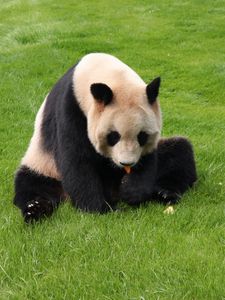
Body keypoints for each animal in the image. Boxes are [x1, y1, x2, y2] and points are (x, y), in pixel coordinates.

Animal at [13, 52, 197, 221]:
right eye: (113, 136)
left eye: (142, 136)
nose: (126, 163)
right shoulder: (70, 110)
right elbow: (76, 160)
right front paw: (99, 208)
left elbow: (148, 159)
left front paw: (132, 191)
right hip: (44, 164)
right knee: (33, 184)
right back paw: (34, 210)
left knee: (179, 153)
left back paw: (165, 192)